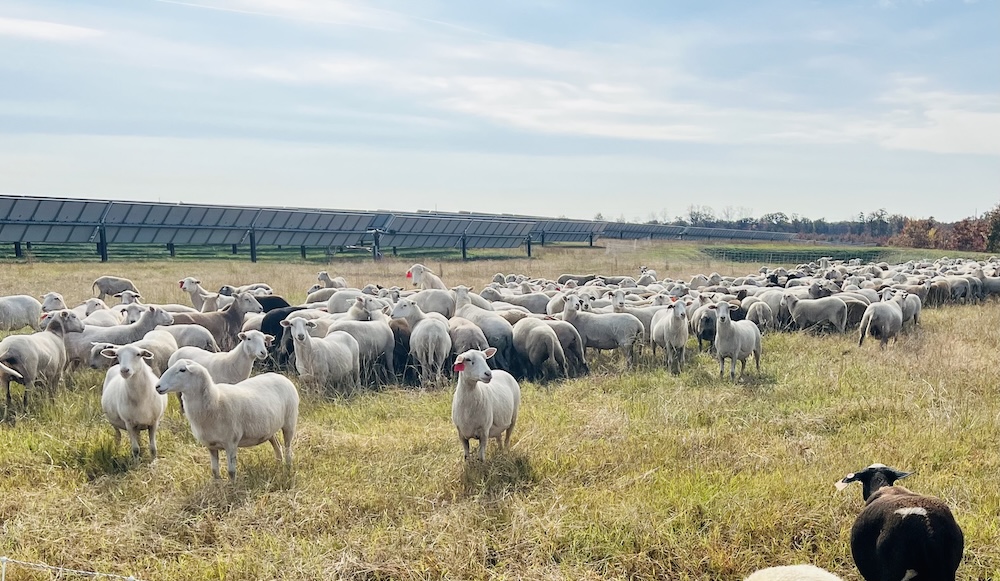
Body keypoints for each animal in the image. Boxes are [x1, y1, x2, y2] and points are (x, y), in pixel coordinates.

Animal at [154, 358, 298, 480]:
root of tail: (281, 376)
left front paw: (232, 490)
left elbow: (231, 472)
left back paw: (288, 468)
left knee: (288, 447)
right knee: (277, 446)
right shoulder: (210, 445)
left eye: (182, 370)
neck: (215, 400)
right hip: (268, 428)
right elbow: (214, 472)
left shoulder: (231, 443)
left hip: (290, 422)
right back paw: (278, 464)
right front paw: (218, 488)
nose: (157, 386)